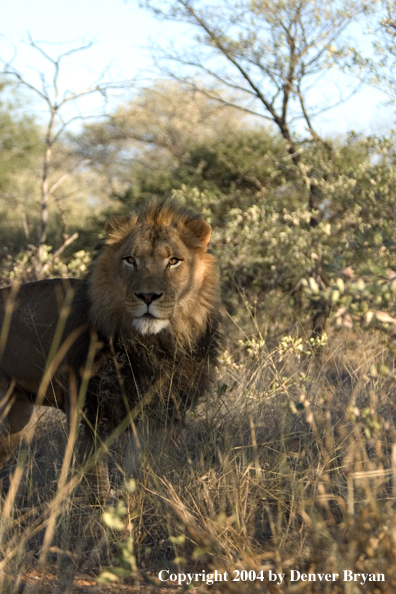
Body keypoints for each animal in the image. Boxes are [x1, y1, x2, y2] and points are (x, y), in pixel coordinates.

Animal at [0, 198, 221, 490]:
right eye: (130, 260)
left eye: (173, 261)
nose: (147, 296)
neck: (154, 344)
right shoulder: (89, 413)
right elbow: (97, 484)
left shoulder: (159, 416)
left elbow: (139, 479)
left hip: (15, 419)